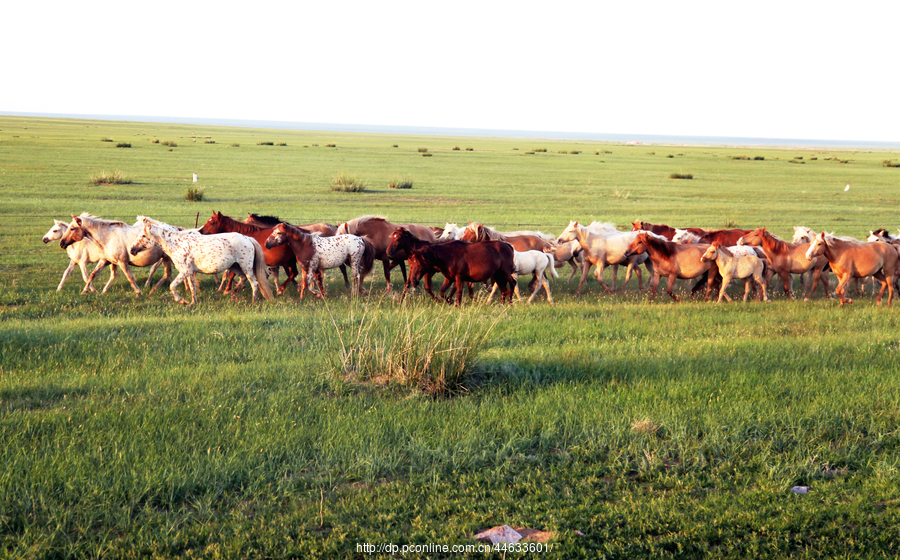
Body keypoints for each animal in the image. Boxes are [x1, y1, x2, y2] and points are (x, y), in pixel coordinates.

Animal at [128, 218, 272, 306]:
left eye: (143, 236)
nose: (132, 250)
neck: (176, 244)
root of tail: (247, 238)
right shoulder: (190, 273)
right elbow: (192, 287)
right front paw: (193, 302)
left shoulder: (185, 272)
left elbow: (172, 286)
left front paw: (182, 300)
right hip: (234, 267)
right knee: (242, 279)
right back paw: (233, 295)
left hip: (246, 267)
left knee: (254, 283)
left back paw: (253, 301)